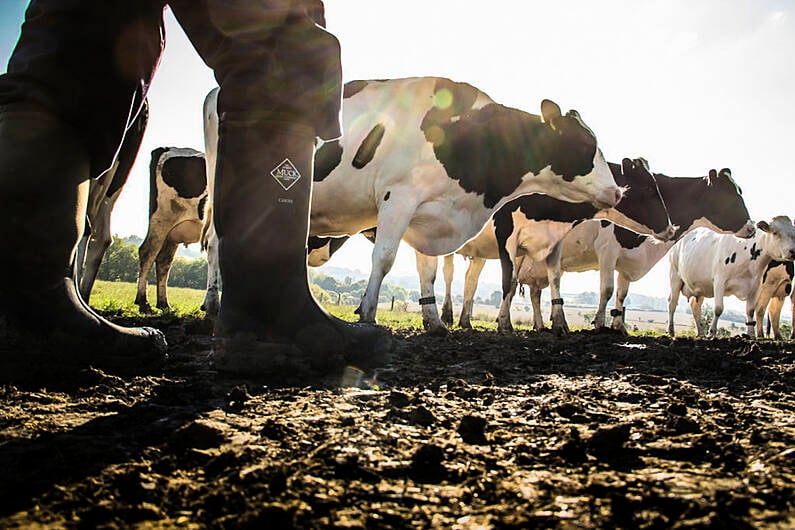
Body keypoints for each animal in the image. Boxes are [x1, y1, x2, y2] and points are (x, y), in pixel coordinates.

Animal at [137, 146, 211, 312]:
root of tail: (168, 148)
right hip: (161, 219)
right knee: (147, 253)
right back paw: (143, 302)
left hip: (172, 234)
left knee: (164, 260)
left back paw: (164, 304)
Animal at [202, 75, 624, 324]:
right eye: (586, 144)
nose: (618, 191)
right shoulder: (398, 197)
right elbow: (385, 258)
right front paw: (368, 313)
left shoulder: (428, 212)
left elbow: (428, 271)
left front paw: (434, 322)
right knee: (216, 243)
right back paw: (213, 302)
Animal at [438, 155, 676, 332]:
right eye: (648, 189)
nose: (670, 229)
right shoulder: (506, 230)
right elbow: (509, 280)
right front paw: (504, 323)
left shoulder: (554, 239)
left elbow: (554, 278)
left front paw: (560, 323)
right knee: (447, 273)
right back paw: (445, 315)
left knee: (470, 279)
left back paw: (465, 321)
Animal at [520, 167, 756, 332]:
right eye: (730, 196)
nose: (752, 228)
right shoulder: (607, 248)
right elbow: (607, 289)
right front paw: (599, 323)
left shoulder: (626, 261)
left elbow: (622, 294)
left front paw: (618, 326)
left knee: (534, 292)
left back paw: (539, 325)